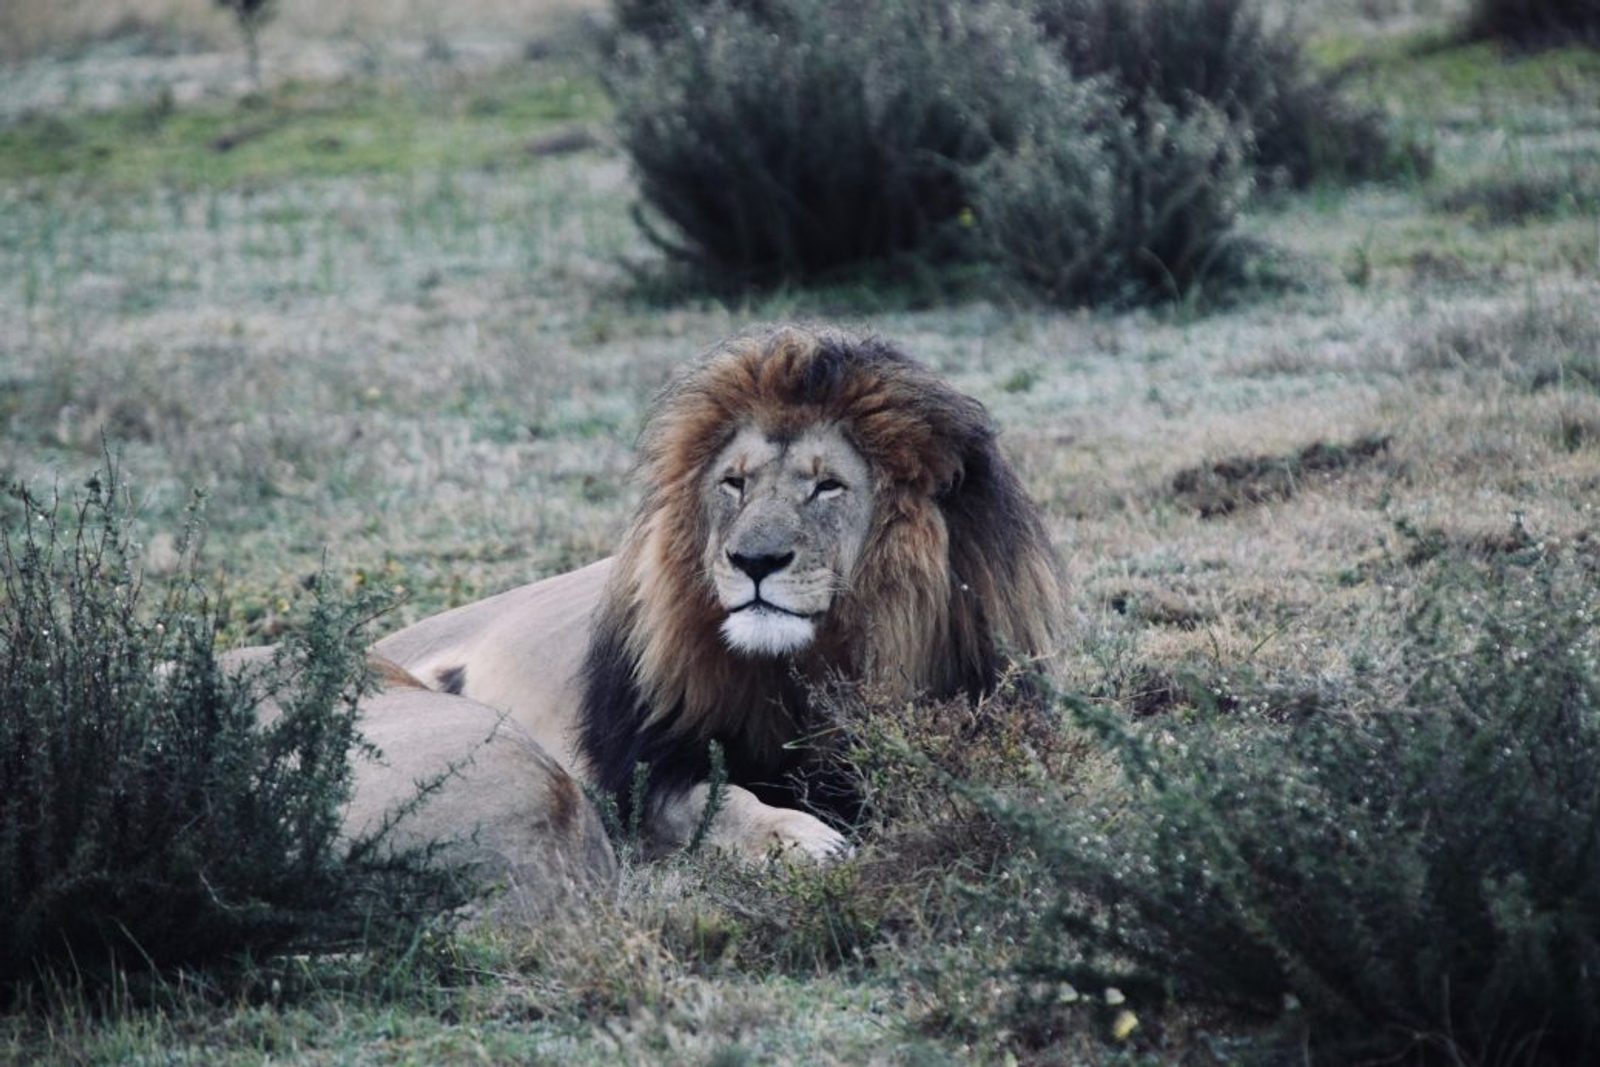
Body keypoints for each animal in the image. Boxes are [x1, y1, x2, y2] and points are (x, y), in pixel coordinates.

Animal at [374, 326, 1062, 860]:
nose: (754, 561)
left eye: (827, 486)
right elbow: (721, 800)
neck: (805, 666)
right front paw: (802, 840)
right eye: (735, 483)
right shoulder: (648, 764)